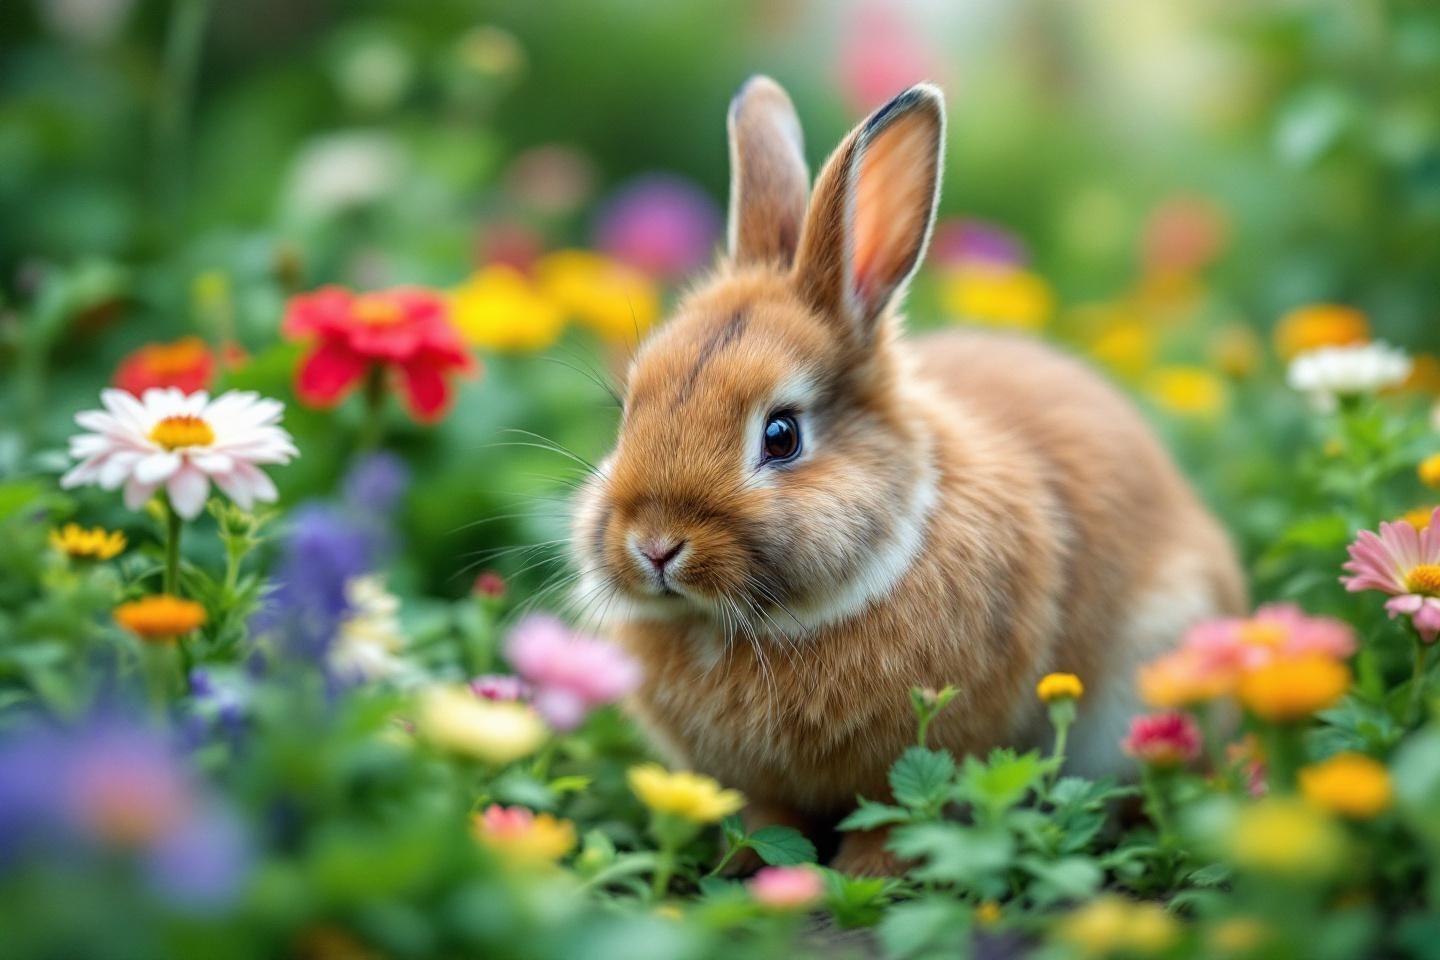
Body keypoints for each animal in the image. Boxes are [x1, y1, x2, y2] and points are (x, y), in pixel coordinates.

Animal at [569, 76, 1246, 875]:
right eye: (628, 410)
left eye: (781, 435)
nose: (655, 545)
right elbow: (765, 819)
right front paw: (752, 869)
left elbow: (899, 818)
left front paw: (864, 873)